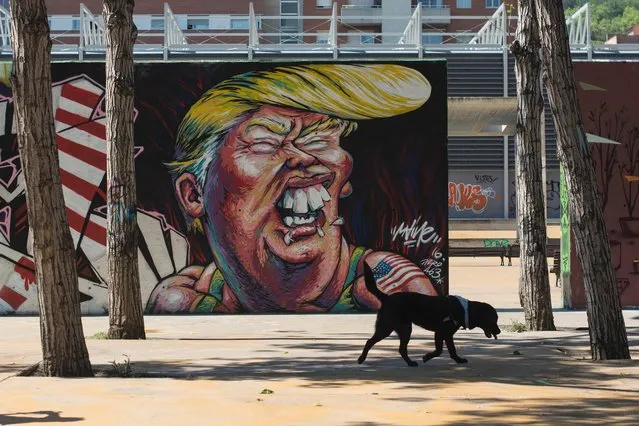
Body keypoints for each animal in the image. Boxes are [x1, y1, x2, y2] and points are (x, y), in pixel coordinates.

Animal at [360, 262, 500, 368]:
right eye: (494, 320)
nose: (499, 331)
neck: (465, 310)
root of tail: (387, 297)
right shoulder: (440, 332)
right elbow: (439, 350)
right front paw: (427, 357)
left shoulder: (447, 334)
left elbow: (452, 350)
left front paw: (458, 360)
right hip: (393, 328)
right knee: (372, 342)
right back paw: (362, 358)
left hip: (398, 328)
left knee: (397, 348)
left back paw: (409, 363)